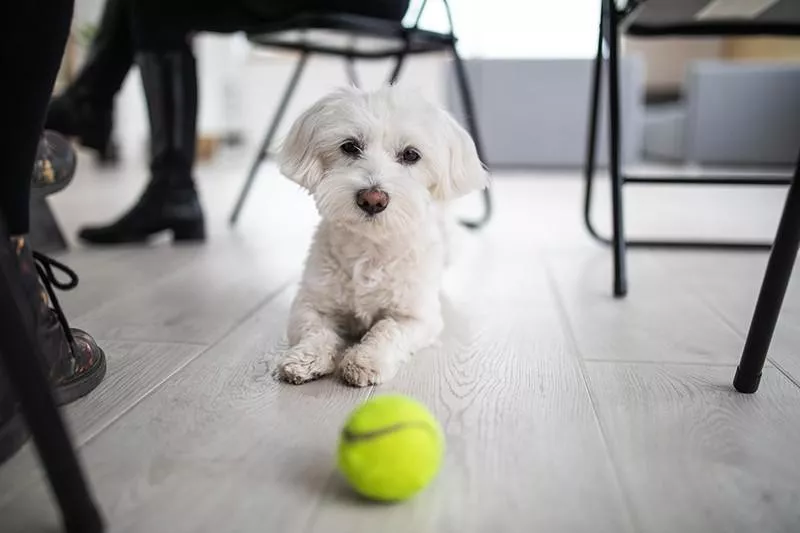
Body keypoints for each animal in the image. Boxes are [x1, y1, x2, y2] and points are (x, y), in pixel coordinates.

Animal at [276, 87, 488, 386]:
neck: (372, 245)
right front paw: (306, 358)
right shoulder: (310, 303)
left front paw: (366, 360)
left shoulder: (418, 318)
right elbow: (315, 329)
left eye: (411, 154)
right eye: (350, 146)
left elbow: (388, 329)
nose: (372, 199)